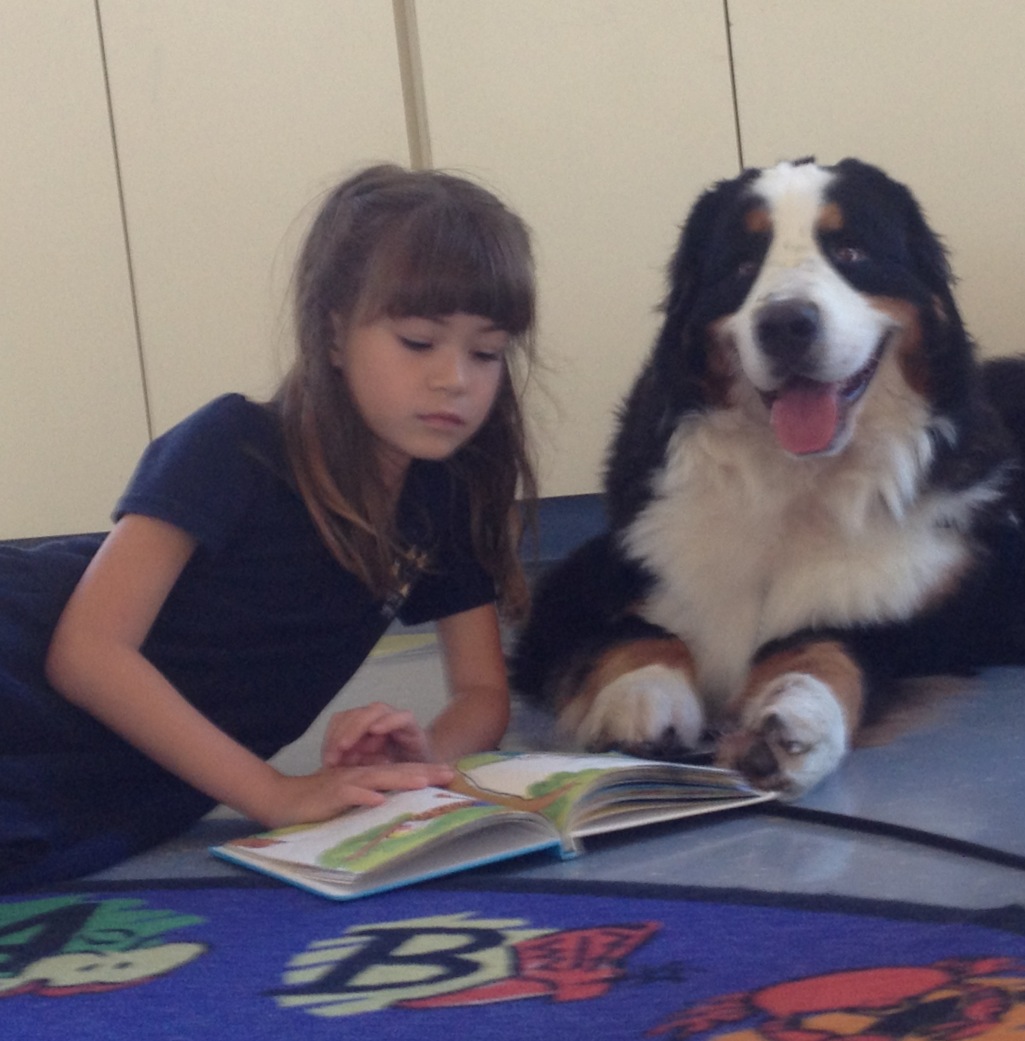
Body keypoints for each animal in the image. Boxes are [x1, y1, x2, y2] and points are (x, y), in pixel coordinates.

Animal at [516, 156, 1023, 795]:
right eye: (741, 264)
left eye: (850, 251)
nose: (785, 323)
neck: (793, 483)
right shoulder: (578, 587)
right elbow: (642, 634)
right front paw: (643, 696)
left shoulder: (918, 618)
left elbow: (825, 646)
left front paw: (795, 720)